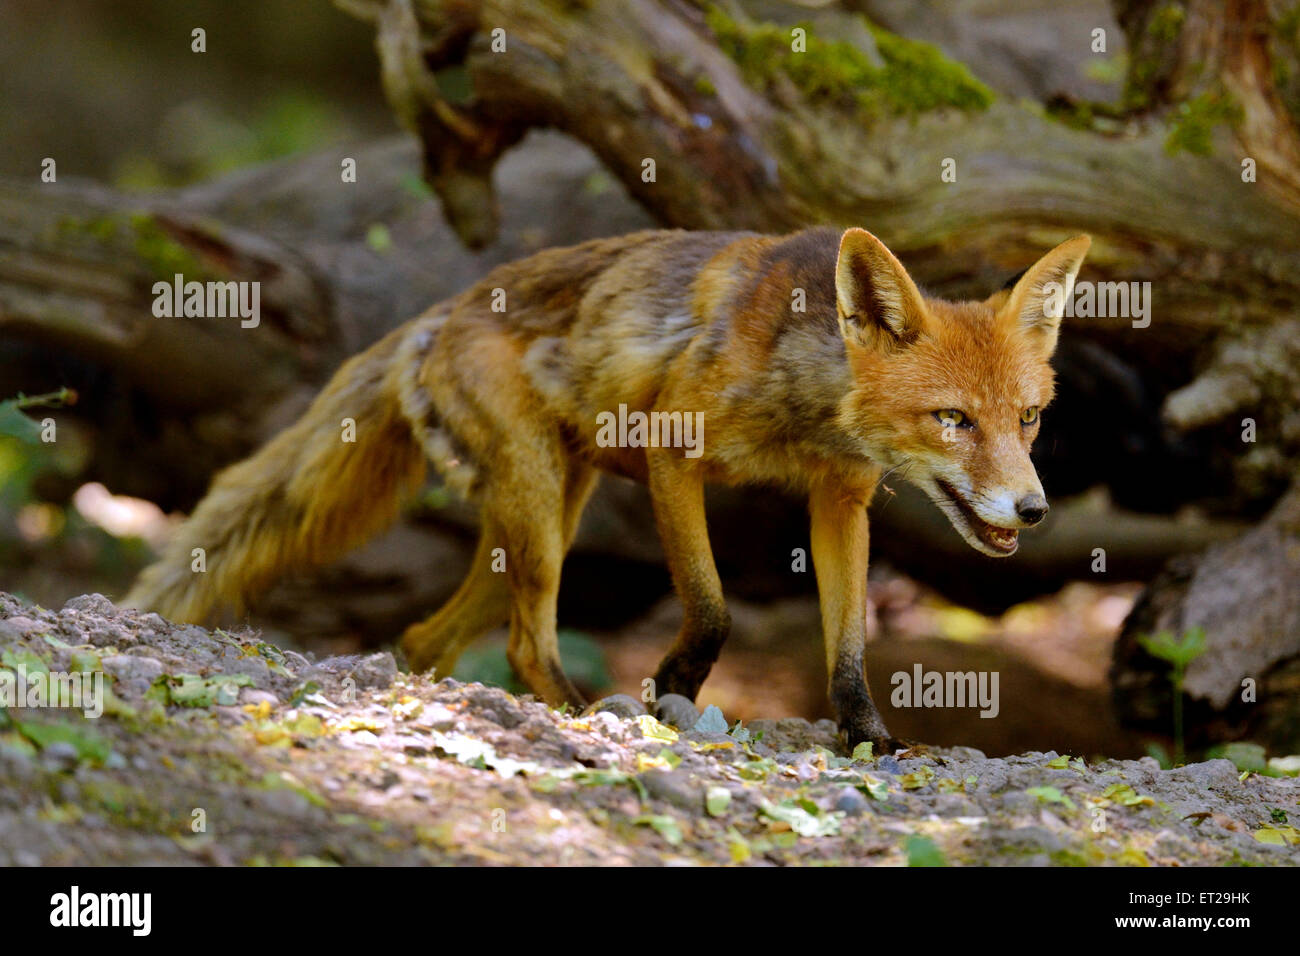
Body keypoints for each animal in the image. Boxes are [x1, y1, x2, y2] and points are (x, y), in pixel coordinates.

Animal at [125, 226, 1090, 751]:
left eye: (1029, 419)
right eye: (953, 420)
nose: (1035, 510)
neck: (803, 396)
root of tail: (448, 307)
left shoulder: (841, 501)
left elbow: (849, 650)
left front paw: (868, 740)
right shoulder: (672, 457)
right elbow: (712, 608)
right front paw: (674, 684)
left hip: (545, 521)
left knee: (427, 635)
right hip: (543, 524)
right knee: (522, 643)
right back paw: (586, 713)